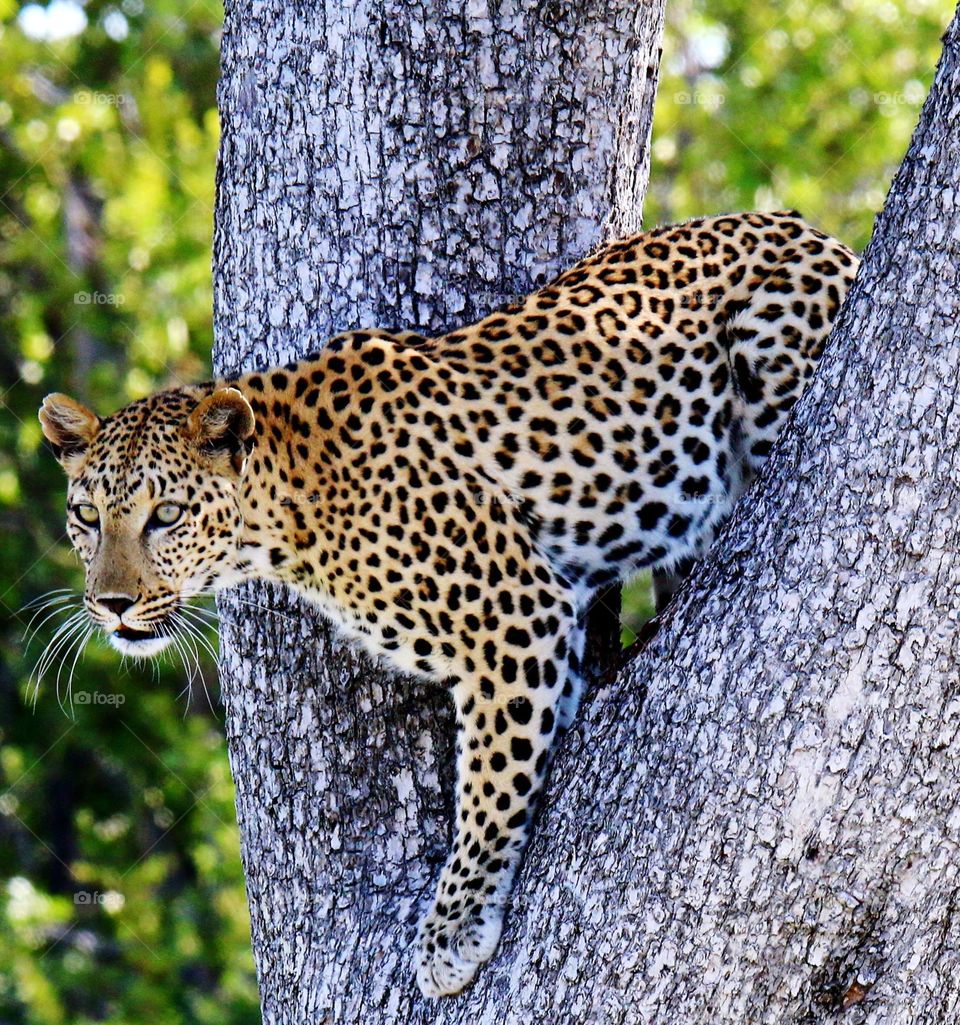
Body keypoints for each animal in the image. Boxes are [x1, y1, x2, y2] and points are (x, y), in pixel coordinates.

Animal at [39, 211, 858, 998]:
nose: (112, 604)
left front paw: (452, 933)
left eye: (166, 515)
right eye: (86, 516)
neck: (290, 506)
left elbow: (493, 782)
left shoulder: (516, 614)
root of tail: (821, 234)